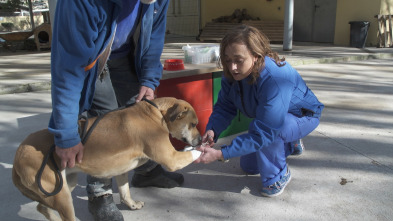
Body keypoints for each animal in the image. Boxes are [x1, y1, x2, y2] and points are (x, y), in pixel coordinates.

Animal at [12, 97, 202, 221]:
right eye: (193, 124)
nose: (200, 139)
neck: (156, 113)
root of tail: (17, 157)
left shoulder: (121, 170)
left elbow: (125, 192)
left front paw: (132, 205)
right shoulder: (171, 159)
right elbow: (192, 153)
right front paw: (203, 149)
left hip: (65, 184)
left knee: (41, 207)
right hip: (61, 196)